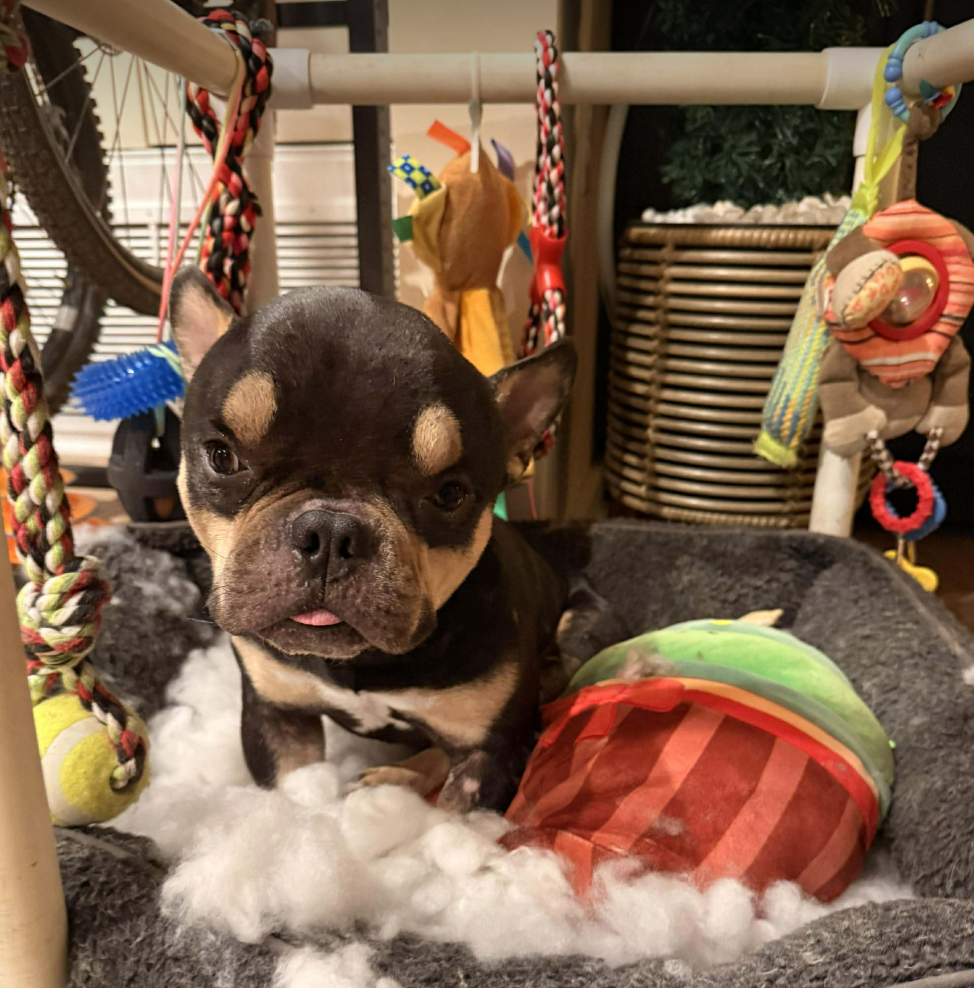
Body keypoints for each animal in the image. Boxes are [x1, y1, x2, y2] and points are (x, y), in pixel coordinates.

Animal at [169, 267, 608, 813]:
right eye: (222, 457)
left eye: (450, 494)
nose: (330, 531)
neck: (363, 662)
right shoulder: (278, 716)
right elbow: (295, 794)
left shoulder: (492, 750)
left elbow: (455, 815)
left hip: (577, 640)